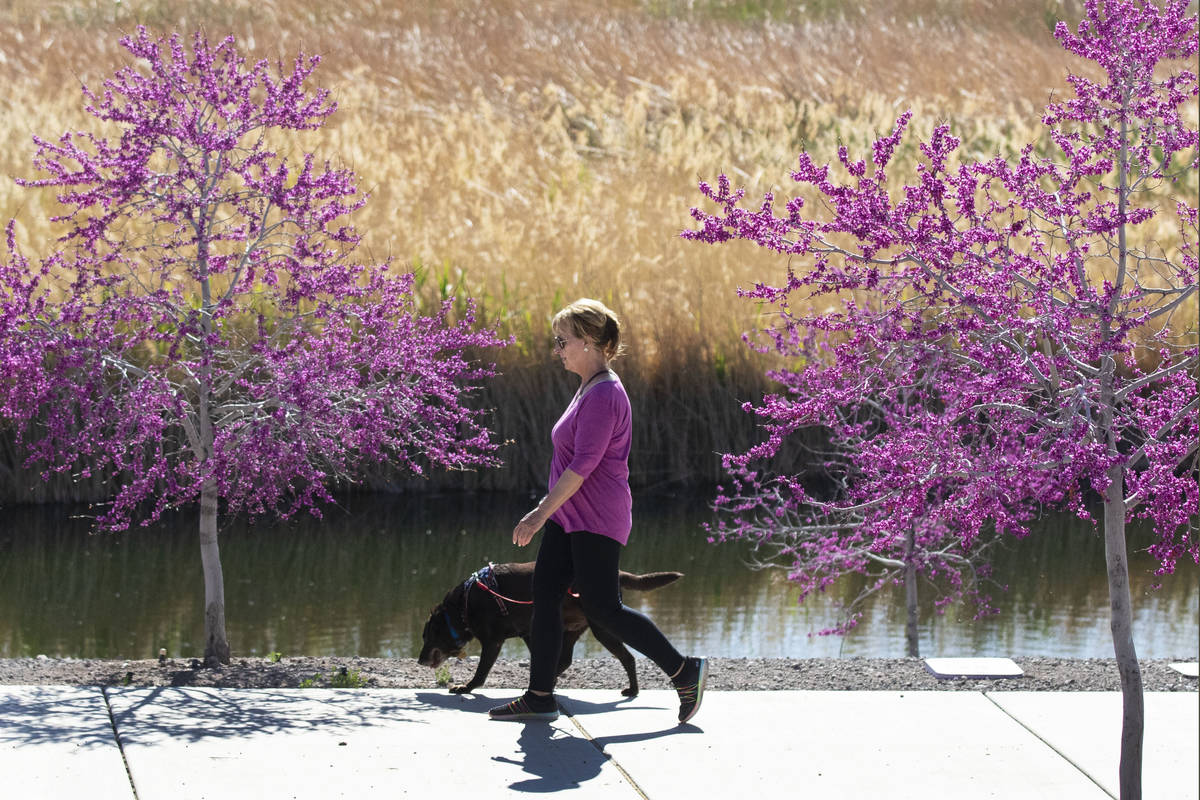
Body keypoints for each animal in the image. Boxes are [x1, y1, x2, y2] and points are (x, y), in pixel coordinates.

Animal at [420, 563, 686, 695]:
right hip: (572, 629)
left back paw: (633, 689)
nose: (420, 660)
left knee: (627, 657)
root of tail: (615, 574)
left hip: (602, 626)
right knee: (569, 660)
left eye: (428, 636)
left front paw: (466, 687)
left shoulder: (493, 641)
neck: (463, 605)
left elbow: (481, 672)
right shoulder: (528, 632)